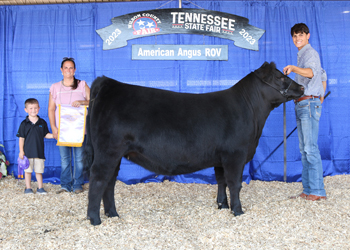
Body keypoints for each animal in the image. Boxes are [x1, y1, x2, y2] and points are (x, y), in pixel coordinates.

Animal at [84, 62, 304, 225]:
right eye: (280, 77)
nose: (302, 87)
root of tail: (107, 83)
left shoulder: (220, 157)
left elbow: (221, 180)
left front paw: (222, 205)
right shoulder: (235, 154)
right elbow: (235, 183)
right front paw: (238, 210)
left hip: (115, 153)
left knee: (110, 181)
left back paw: (113, 214)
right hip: (108, 151)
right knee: (98, 179)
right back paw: (94, 219)